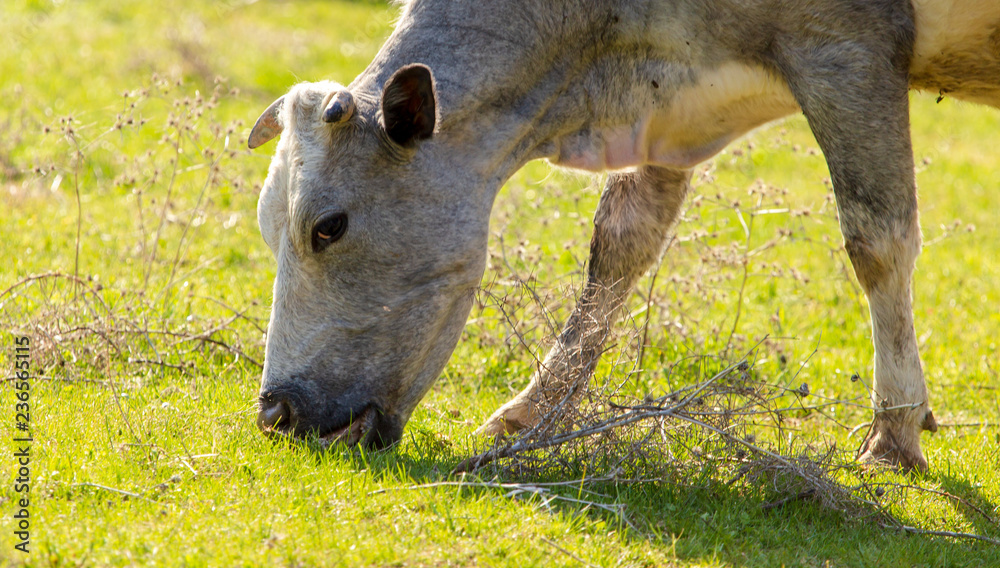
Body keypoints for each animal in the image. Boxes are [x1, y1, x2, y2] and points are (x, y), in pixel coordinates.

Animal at [248, 0, 1000, 471]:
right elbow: (621, 242)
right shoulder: (672, 108)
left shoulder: (847, 48)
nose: (276, 411)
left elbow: (877, 239)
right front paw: (532, 412)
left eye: (327, 227)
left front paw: (895, 432)